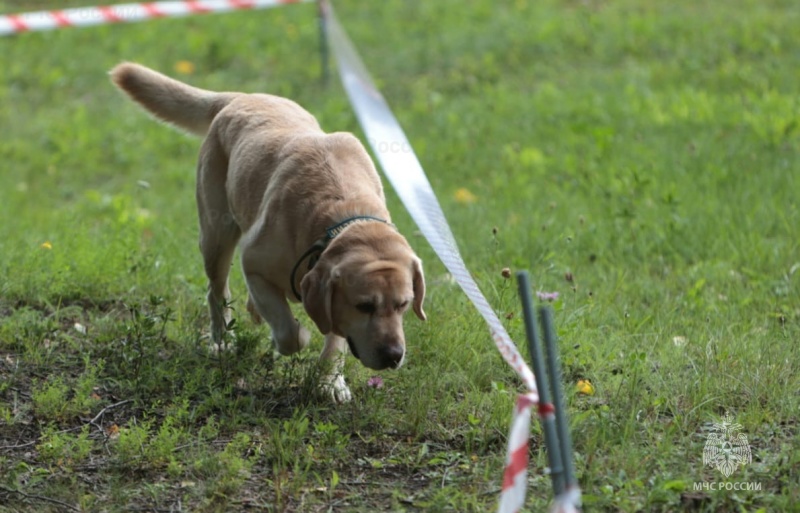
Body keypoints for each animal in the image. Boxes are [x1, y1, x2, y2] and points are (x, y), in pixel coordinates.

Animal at [111, 63, 432, 400]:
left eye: (404, 304)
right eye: (365, 306)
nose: (394, 356)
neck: (339, 215)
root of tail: (240, 97)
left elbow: (335, 338)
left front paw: (330, 382)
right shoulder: (254, 265)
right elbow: (290, 332)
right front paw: (294, 338)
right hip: (216, 235)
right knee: (217, 292)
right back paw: (222, 339)